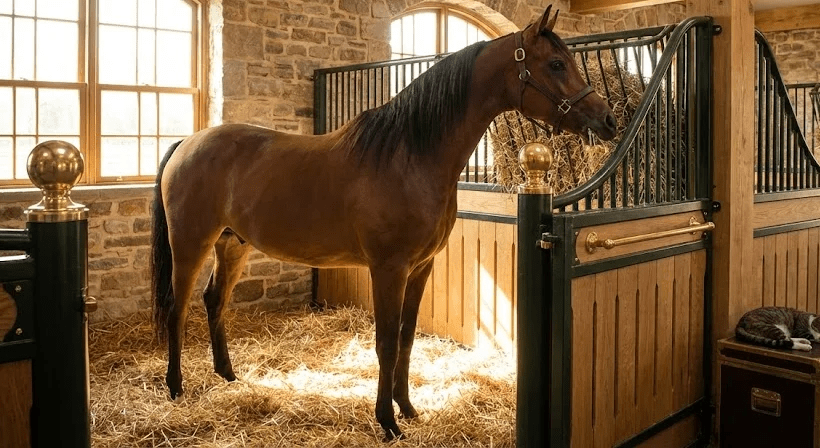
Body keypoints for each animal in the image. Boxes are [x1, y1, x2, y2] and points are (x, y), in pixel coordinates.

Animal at [151, 4, 617, 440]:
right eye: (556, 64)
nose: (608, 120)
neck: (409, 155)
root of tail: (187, 143)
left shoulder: (421, 267)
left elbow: (407, 339)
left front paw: (407, 408)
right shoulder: (388, 269)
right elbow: (387, 343)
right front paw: (387, 421)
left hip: (233, 243)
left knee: (215, 301)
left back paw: (228, 376)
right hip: (190, 244)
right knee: (177, 307)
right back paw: (175, 387)